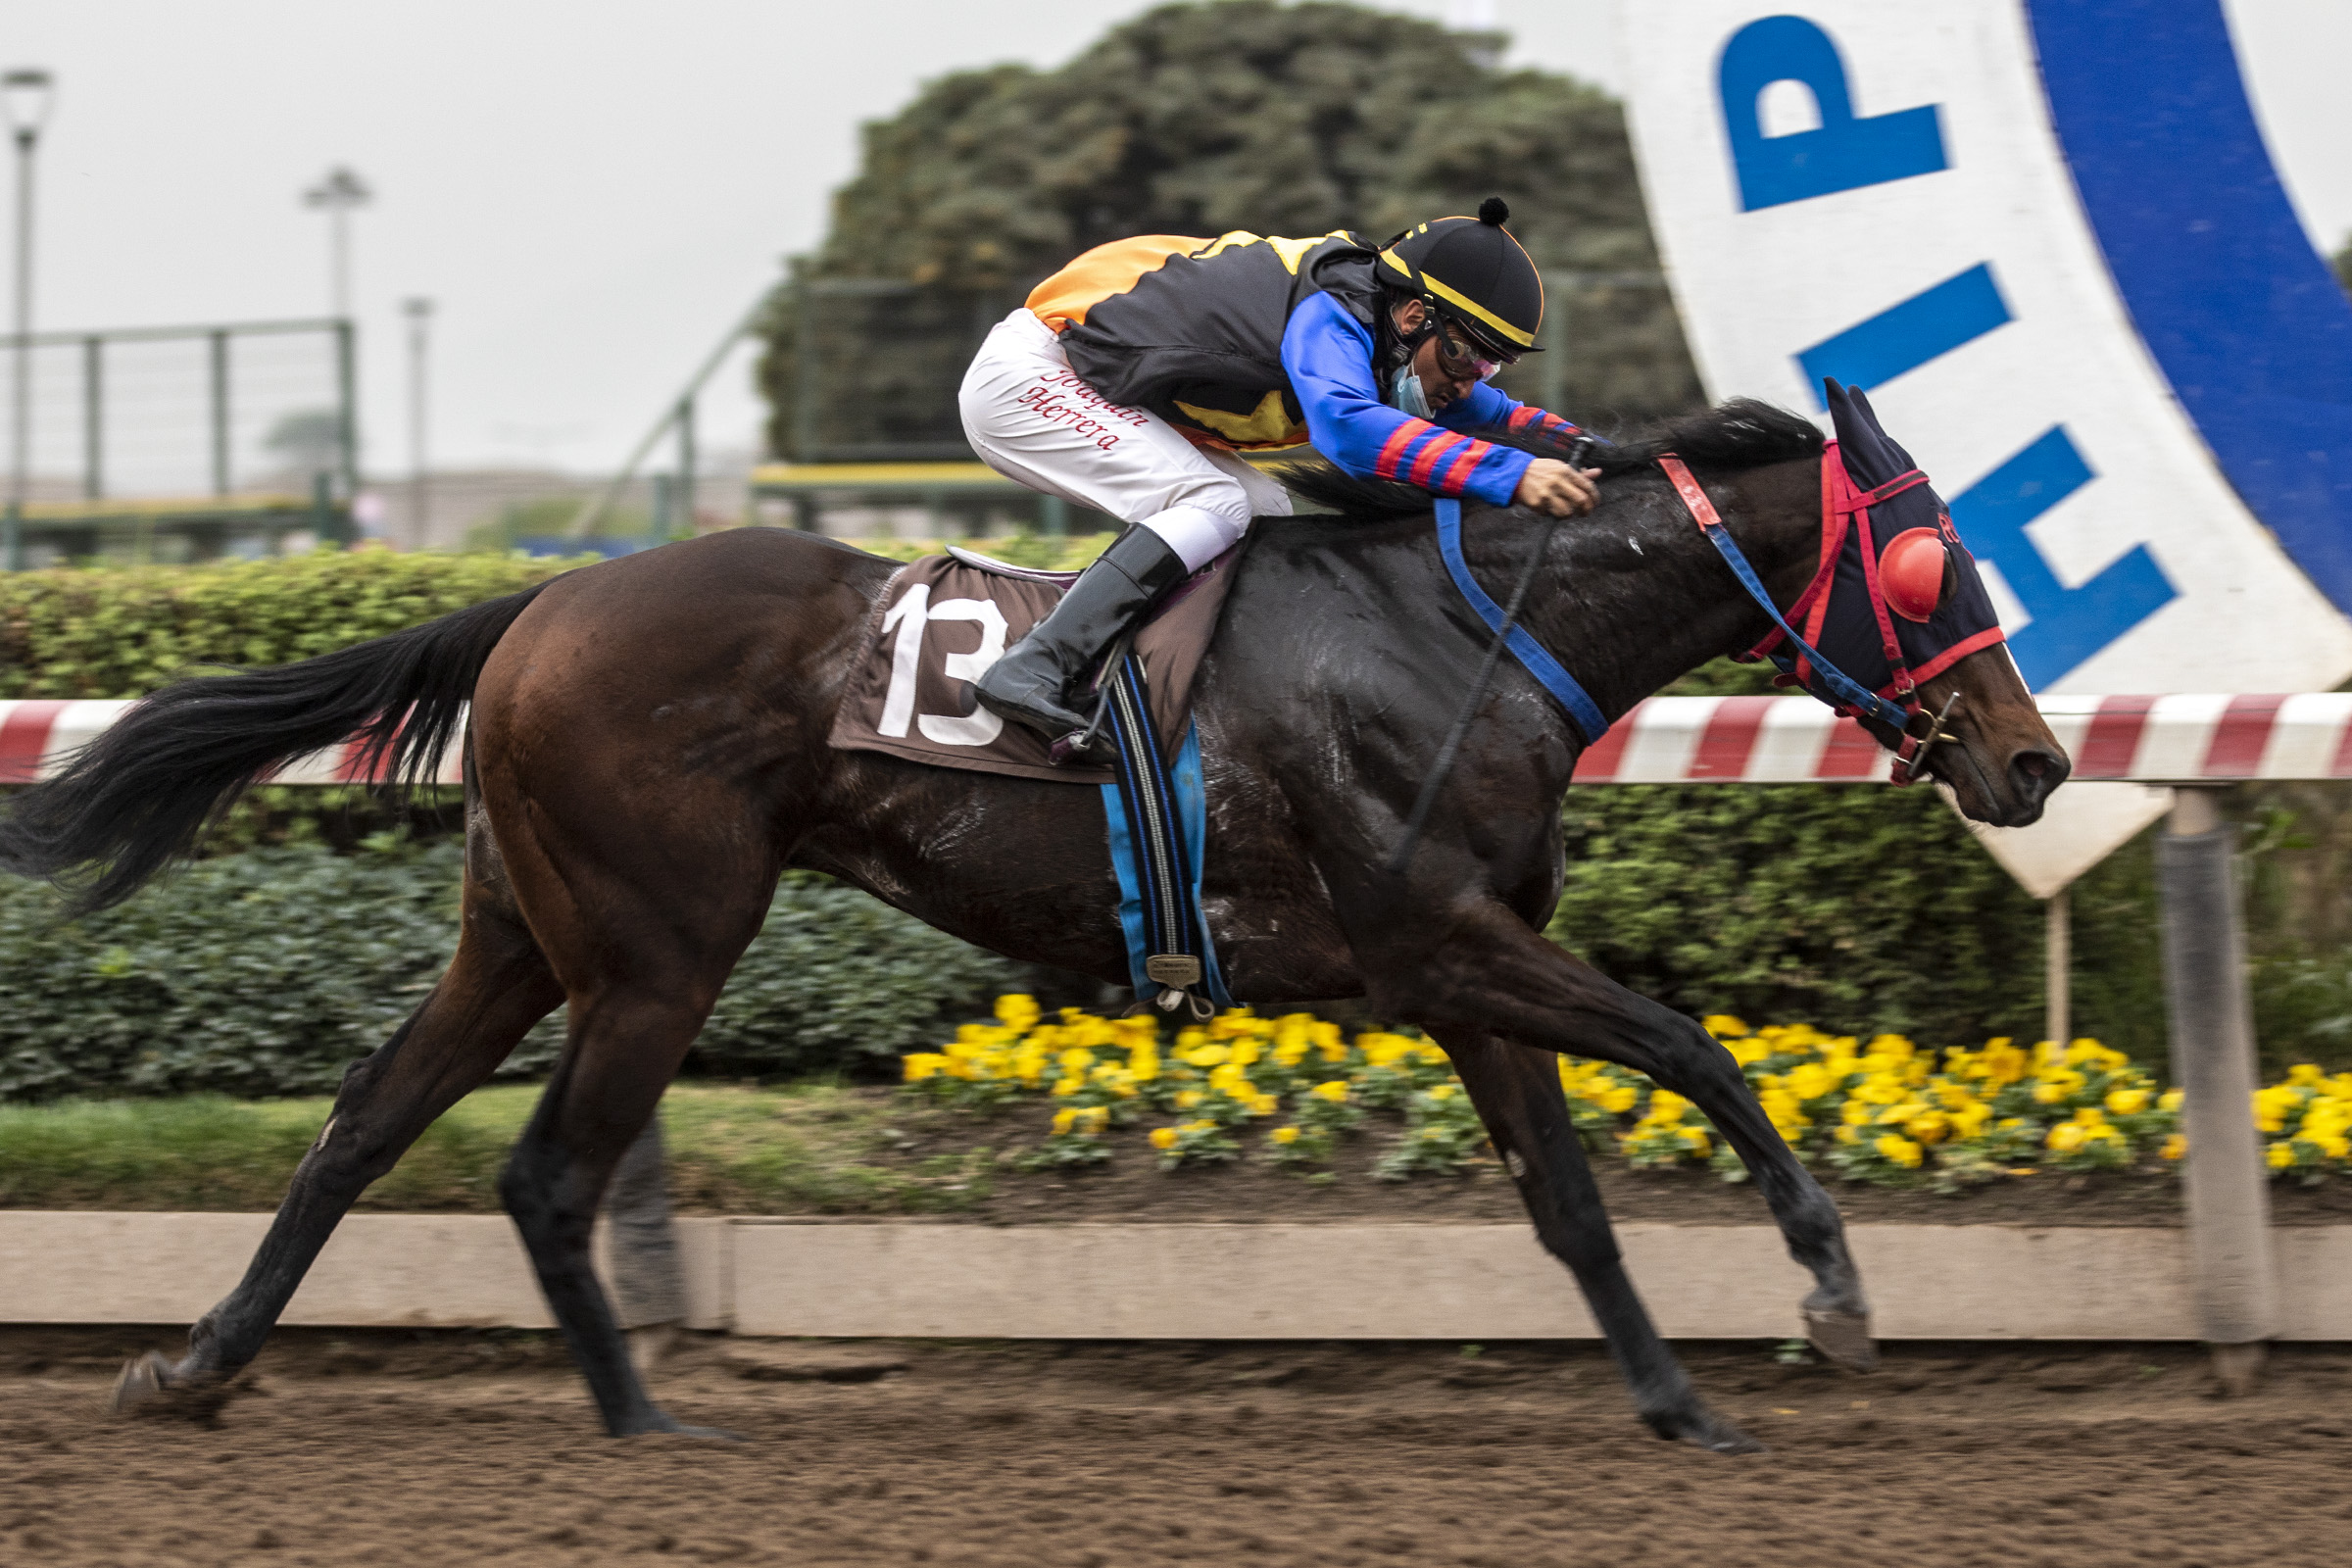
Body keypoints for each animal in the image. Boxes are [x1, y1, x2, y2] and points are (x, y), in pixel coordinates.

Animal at [0, 400, 2068, 1453]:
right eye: (1931, 565)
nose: (2036, 761)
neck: (1462, 631)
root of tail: (533, 604)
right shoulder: (1441, 941)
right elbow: (1691, 1045)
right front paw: (1833, 1295)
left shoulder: (1460, 966)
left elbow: (1566, 1198)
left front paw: (1675, 1405)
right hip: (661, 951)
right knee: (546, 1173)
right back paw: (647, 1429)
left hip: (522, 934)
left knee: (364, 1126)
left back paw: (197, 1366)